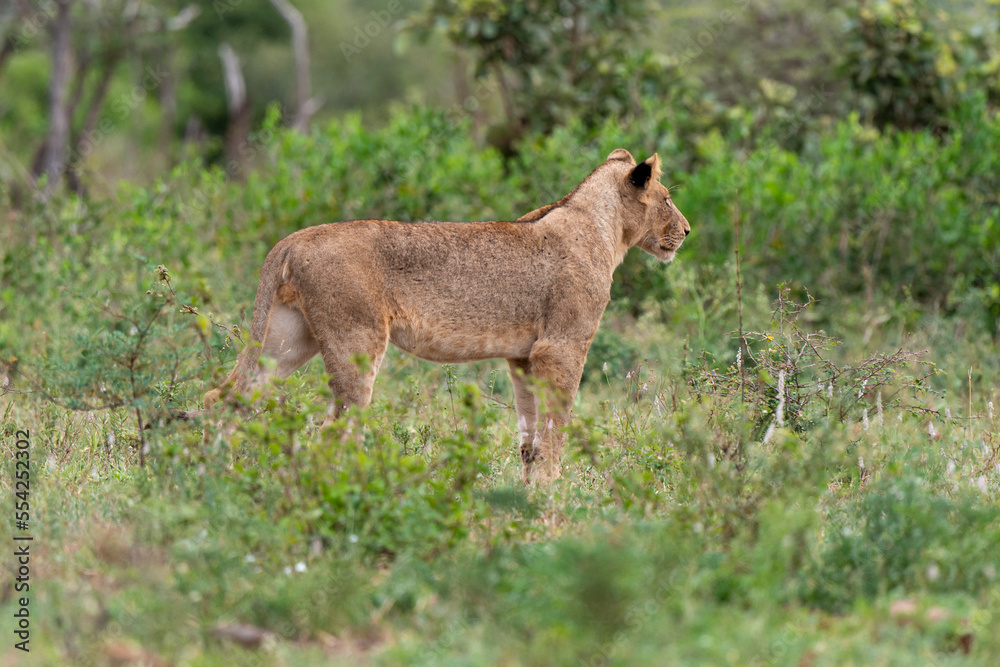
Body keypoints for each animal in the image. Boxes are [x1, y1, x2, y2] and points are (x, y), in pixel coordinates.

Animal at [193, 149, 690, 485]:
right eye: (666, 199)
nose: (687, 231)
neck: (605, 230)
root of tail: (293, 239)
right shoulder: (561, 347)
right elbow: (555, 432)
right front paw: (553, 501)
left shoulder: (524, 357)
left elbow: (529, 439)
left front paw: (527, 499)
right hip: (356, 341)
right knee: (334, 431)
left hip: (286, 339)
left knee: (223, 398)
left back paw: (215, 476)